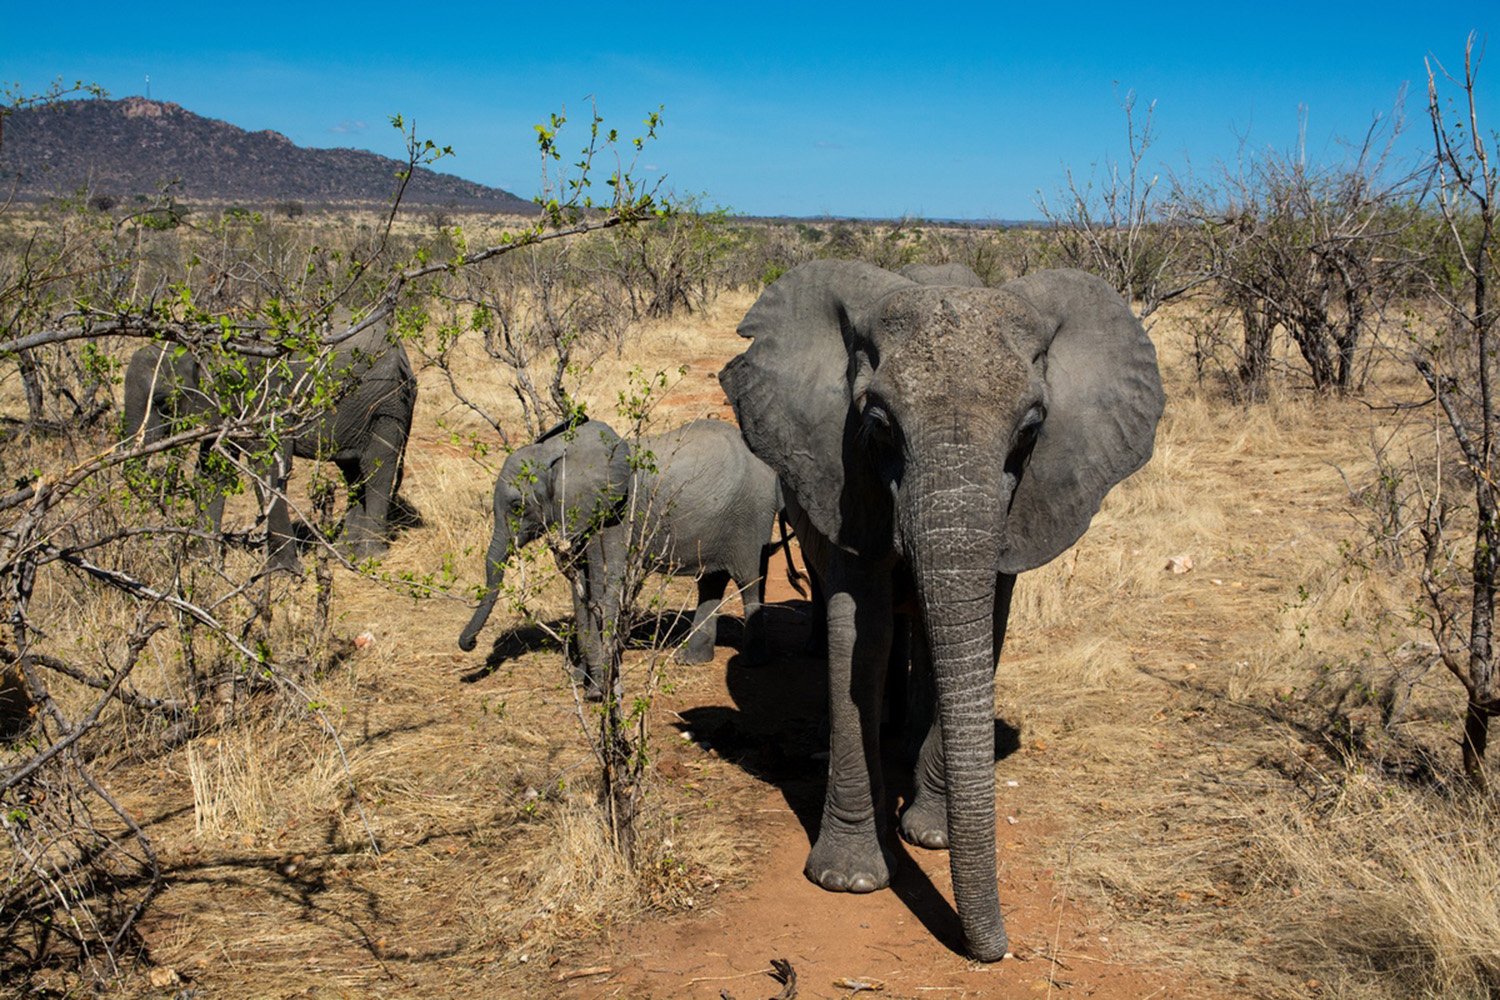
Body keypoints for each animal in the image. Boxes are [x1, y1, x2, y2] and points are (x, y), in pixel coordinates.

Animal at [121, 320, 417, 571]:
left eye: (162, 402)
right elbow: (212, 472)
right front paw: (203, 562)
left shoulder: (265, 398)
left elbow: (269, 470)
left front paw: (283, 572)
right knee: (353, 472)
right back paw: (344, 552)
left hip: (386, 405)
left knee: (375, 469)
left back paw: (368, 556)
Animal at [458, 417, 783, 695]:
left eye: (516, 506)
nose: (469, 644)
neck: (559, 453)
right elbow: (582, 590)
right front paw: (583, 677)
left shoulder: (615, 514)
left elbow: (605, 583)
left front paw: (599, 688)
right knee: (711, 582)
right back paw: (691, 659)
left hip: (751, 516)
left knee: (749, 581)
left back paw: (752, 661)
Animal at [718, 260, 1163, 962]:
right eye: (878, 425)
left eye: (1031, 430)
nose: (1001, 951)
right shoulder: (845, 476)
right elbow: (861, 634)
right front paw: (849, 879)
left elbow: (984, 627)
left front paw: (931, 836)